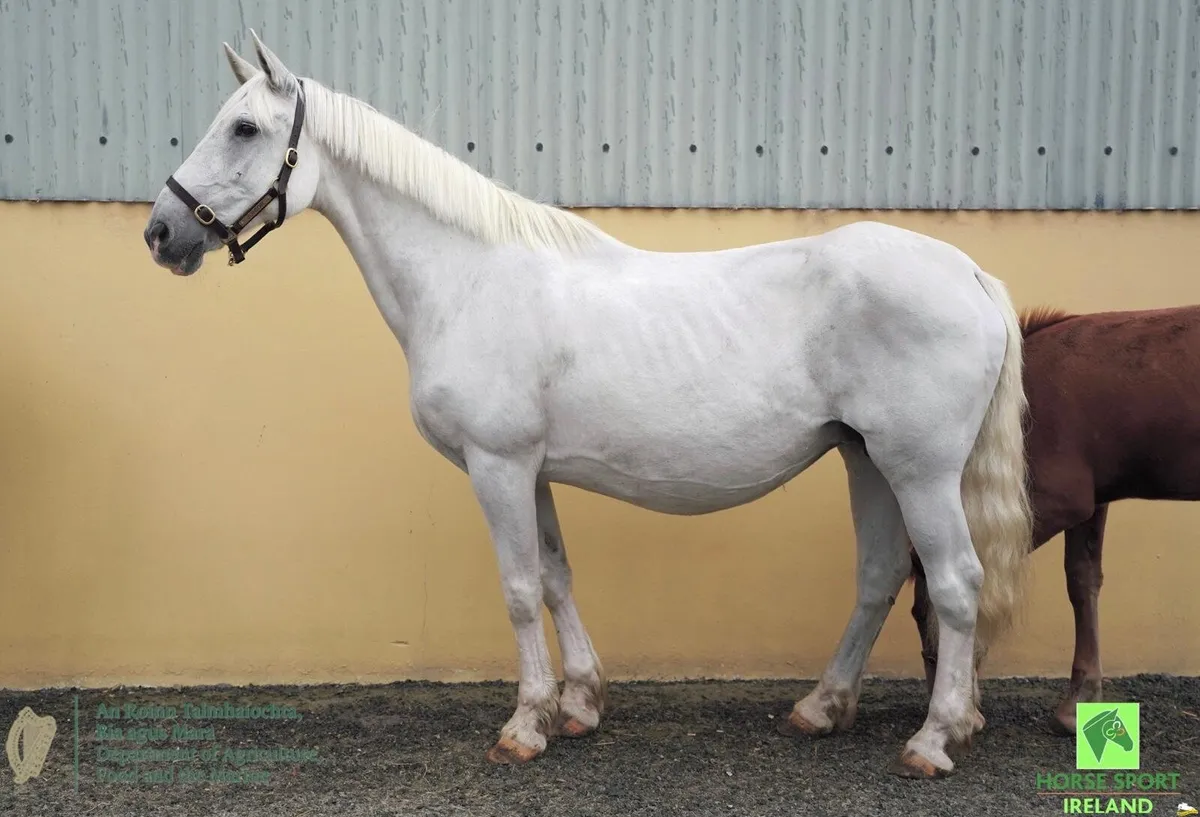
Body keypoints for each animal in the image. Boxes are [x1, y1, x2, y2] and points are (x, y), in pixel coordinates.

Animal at [142, 32, 1033, 778]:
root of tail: (969, 273)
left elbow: (516, 586)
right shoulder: (532, 469)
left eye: (245, 128)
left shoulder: (497, 464)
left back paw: (934, 737)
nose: (161, 234)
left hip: (919, 469)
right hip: (865, 457)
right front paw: (578, 703)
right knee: (880, 576)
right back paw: (823, 708)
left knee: (955, 582)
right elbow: (556, 576)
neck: (467, 278)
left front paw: (525, 723)